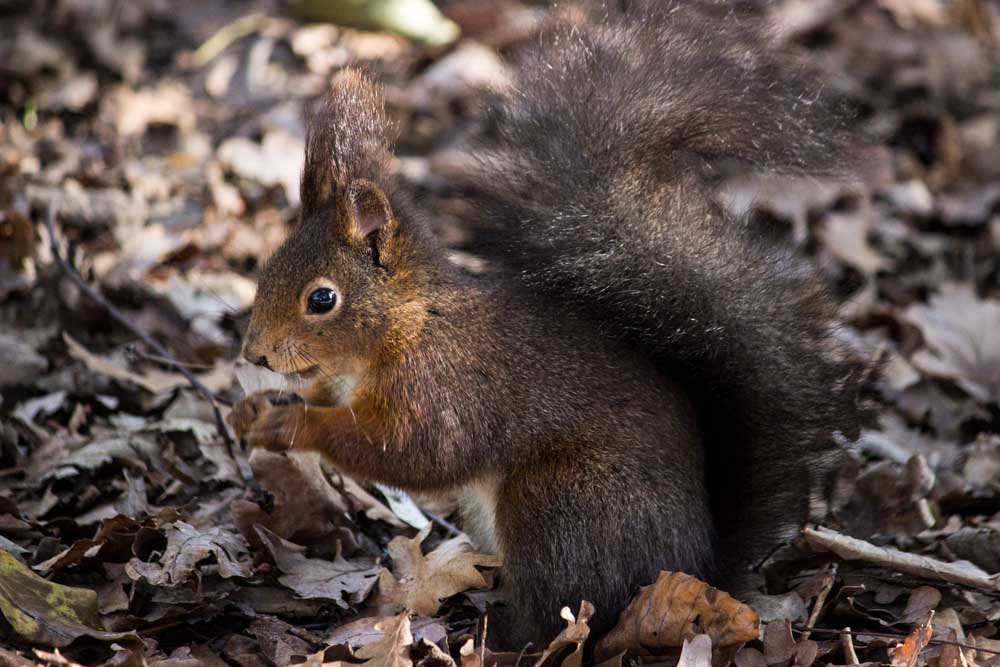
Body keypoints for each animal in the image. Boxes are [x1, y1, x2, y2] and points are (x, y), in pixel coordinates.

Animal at [229, 1, 868, 652]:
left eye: (322, 299)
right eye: (267, 265)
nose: (254, 353)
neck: (408, 325)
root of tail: (694, 568)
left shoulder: (444, 388)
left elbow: (409, 452)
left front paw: (292, 424)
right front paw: (254, 409)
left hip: (557, 504)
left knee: (562, 610)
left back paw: (505, 635)